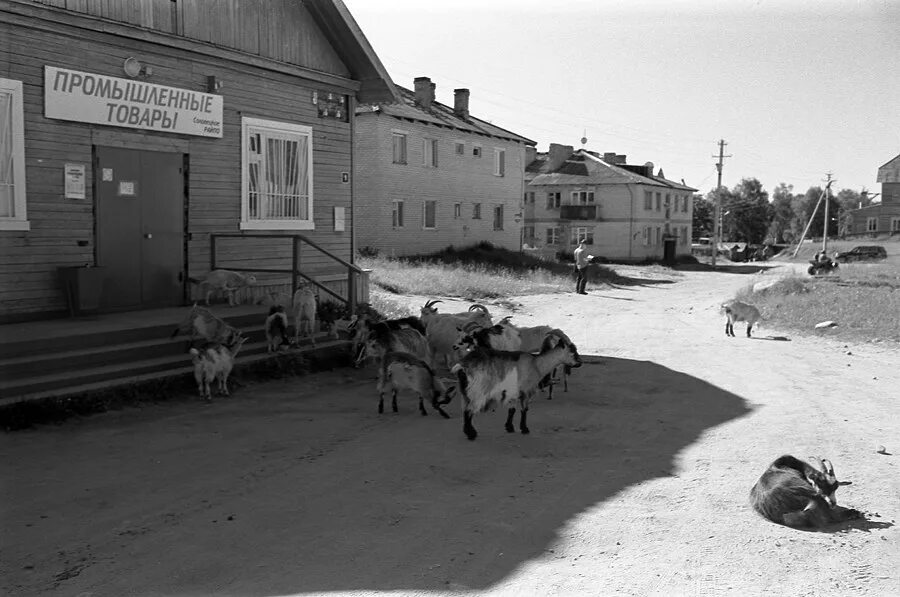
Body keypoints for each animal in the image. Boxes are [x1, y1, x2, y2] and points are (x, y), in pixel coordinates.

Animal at [450, 338, 584, 440]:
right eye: (572, 352)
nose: (580, 363)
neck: (536, 365)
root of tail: (463, 365)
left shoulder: (513, 392)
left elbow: (512, 410)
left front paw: (509, 427)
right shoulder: (526, 390)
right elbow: (524, 410)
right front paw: (524, 429)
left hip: (466, 391)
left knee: (465, 410)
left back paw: (469, 432)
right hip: (478, 390)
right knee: (469, 411)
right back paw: (471, 434)